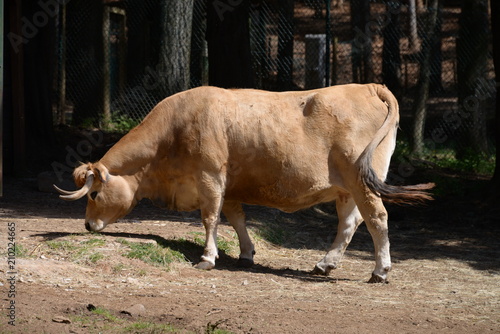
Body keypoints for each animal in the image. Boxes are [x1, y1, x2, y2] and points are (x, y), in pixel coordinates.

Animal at [54, 83, 432, 282]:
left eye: (95, 193)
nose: (87, 225)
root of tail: (367, 86)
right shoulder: (229, 186)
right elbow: (236, 218)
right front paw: (246, 253)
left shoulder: (210, 177)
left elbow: (210, 218)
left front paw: (208, 257)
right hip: (348, 188)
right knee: (350, 223)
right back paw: (325, 263)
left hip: (360, 180)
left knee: (377, 219)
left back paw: (380, 270)